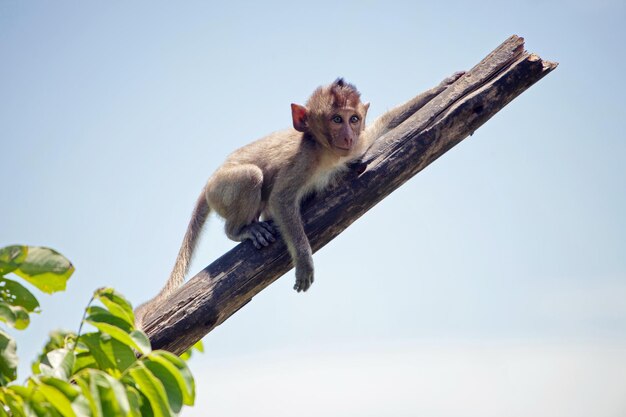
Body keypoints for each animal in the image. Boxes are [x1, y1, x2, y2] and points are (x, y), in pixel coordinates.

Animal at [135, 73, 464, 330]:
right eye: (336, 119)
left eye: (354, 118)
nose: (347, 135)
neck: (327, 152)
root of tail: (207, 184)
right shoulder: (303, 161)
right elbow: (281, 200)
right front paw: (305, 263)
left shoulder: (358, 145)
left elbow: (383, 123)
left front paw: (443, 85)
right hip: (221, 188)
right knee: (251, 177)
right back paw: (241, 230)